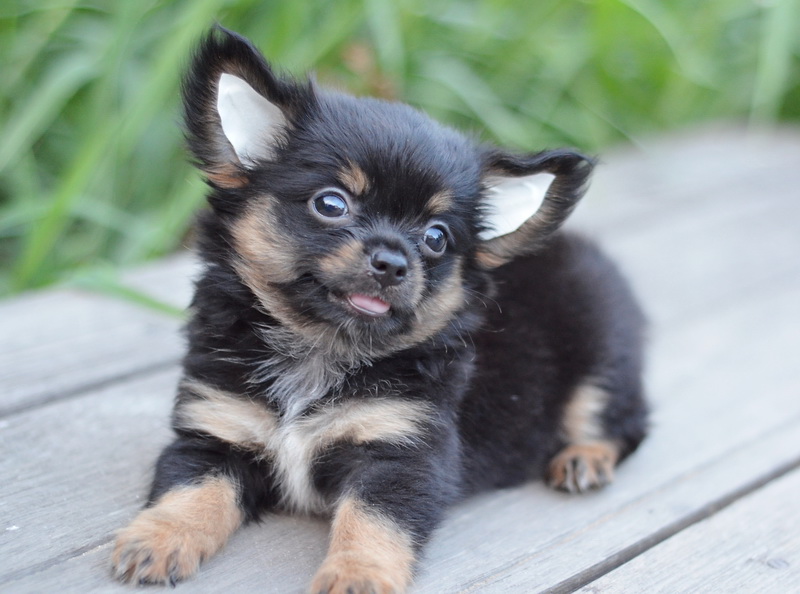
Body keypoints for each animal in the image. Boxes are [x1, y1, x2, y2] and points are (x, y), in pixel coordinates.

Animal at [111, 26, 648, 593]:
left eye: (436, 238)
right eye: (331, 204)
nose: (392, 262)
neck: (319, 350)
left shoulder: (401, 456)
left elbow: (371, 524)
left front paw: (356, 576)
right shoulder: (215, 431)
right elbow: (189, 491)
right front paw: (157, 539)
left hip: (602, 358)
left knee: (624, 421)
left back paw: (583, 460)